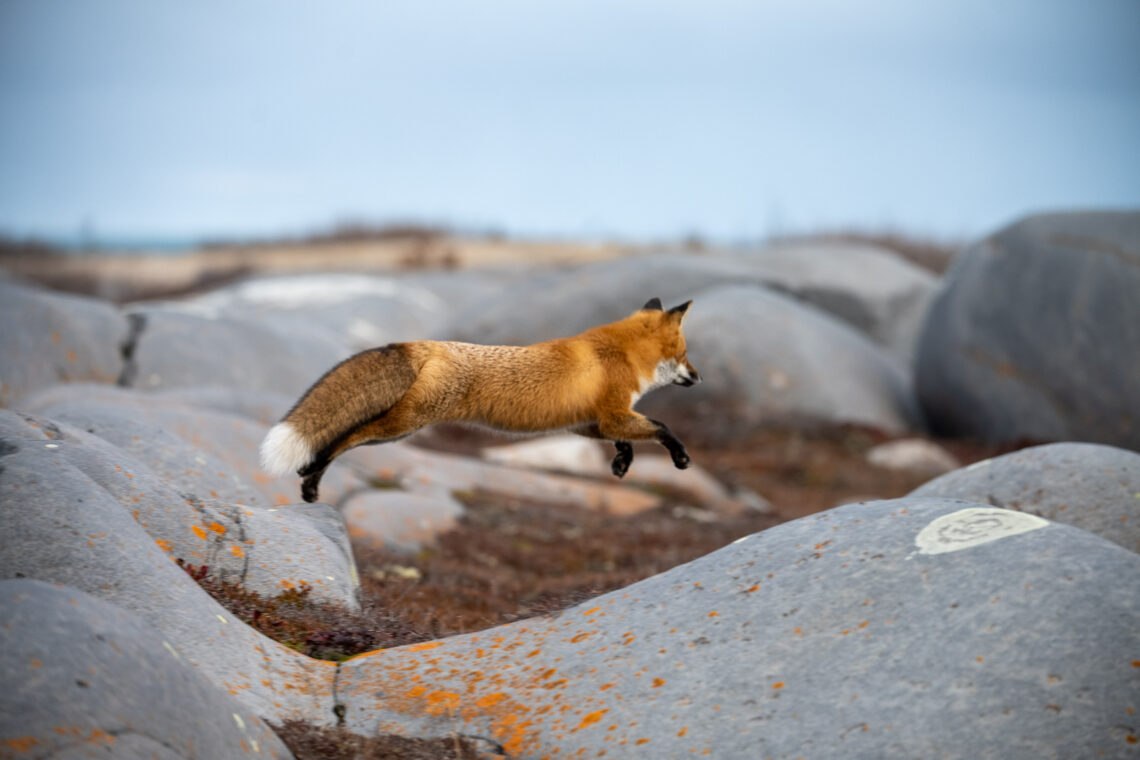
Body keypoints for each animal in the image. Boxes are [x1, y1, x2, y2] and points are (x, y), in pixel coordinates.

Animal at [261, 298, 697, 505]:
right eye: (685, 353)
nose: (699, 377)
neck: (620, 354)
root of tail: (426, 343)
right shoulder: (610, 414)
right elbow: (660, 427)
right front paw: (679, 456)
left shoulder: (587, 420)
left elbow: (628, 438)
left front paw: (622, 462)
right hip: (403, 425)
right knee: (346, 437)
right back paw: (312, 474)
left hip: (401, 429)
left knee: (347, 437)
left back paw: (310, 478)